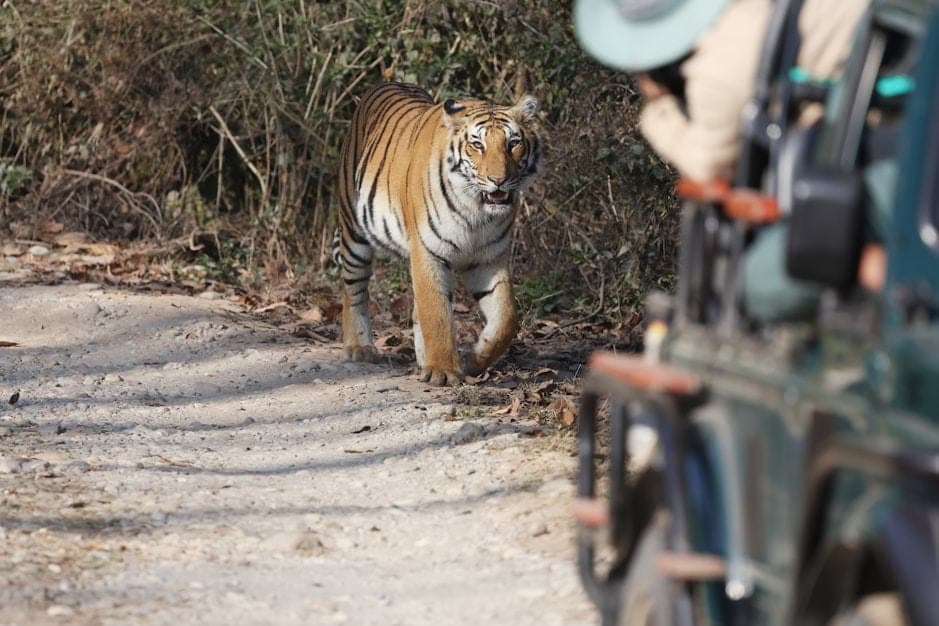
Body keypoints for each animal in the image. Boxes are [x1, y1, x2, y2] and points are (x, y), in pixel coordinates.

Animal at [333, 81, 541, 386]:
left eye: (513, 143)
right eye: (477, 145)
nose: (499, 180)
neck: (476, 211)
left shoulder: (488, 259)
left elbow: (506, 318)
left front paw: (473, 360)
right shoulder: (428, 252)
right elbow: (437, 313)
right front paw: (443, 370)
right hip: (354, 232)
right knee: (353, 289)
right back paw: (359, 347)